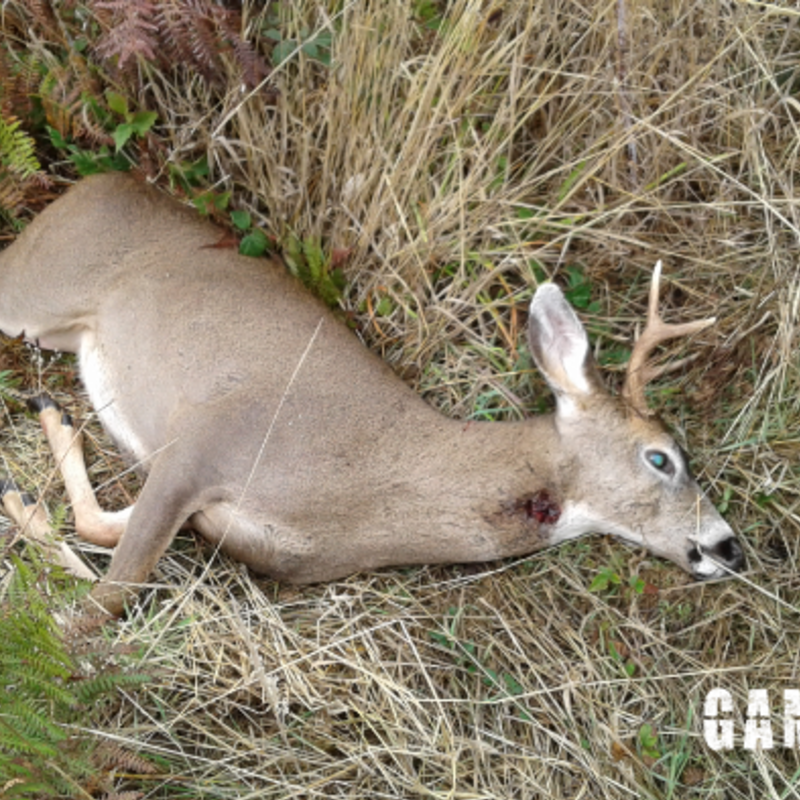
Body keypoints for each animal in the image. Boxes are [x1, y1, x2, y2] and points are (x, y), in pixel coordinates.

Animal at [0, 172, 744, 616]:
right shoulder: (208, 442)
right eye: (661, 456)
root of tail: (96, 182)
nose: (729, 544)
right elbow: (96, 612)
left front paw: (27, 492)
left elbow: (101, 536)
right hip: (29, 290)